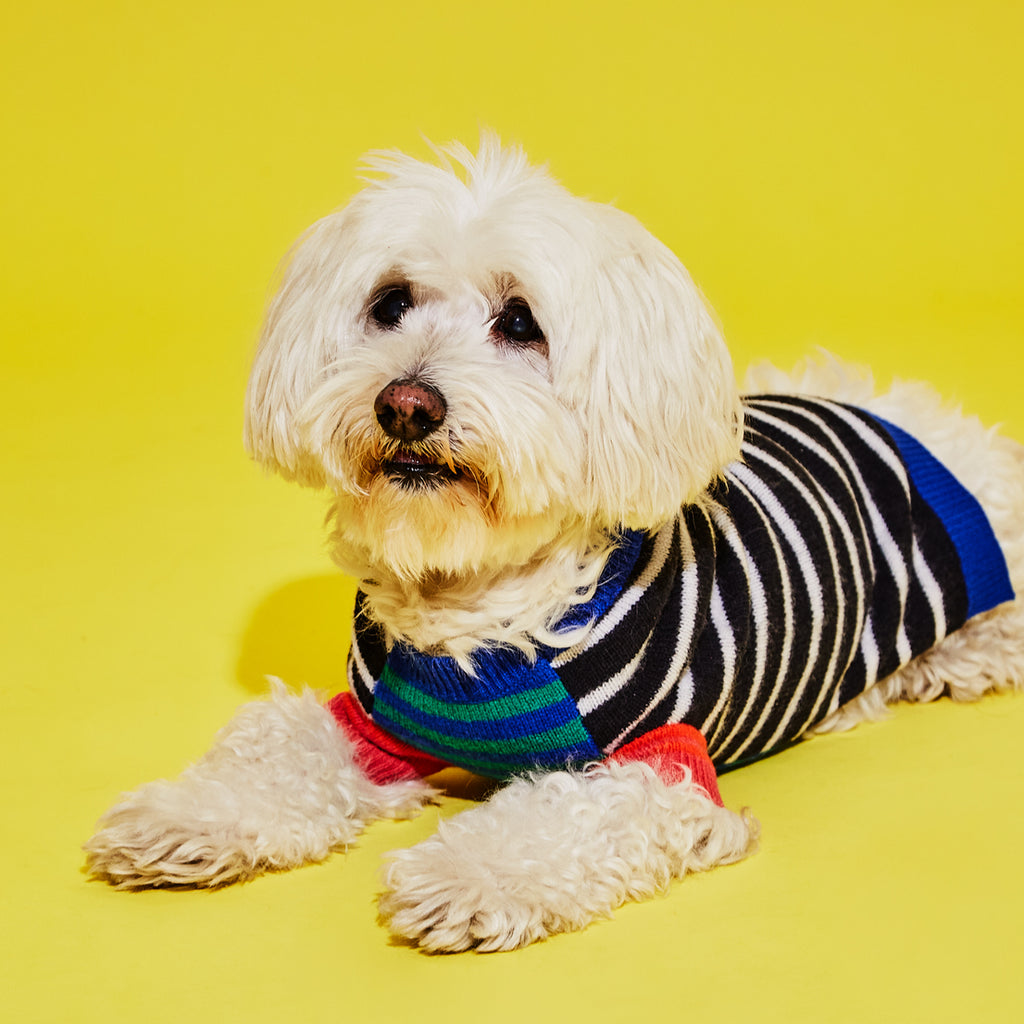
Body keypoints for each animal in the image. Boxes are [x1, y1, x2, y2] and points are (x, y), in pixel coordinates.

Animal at [83, 136, 1024, 950]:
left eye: (519, 322)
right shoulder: (372, 722)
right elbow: (279, 750)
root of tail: (906, 419)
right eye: (390, 305)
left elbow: (558, 815)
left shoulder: (655, 767)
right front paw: (186, 818)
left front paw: (465, 877)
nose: (406, 404)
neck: (474, 607)